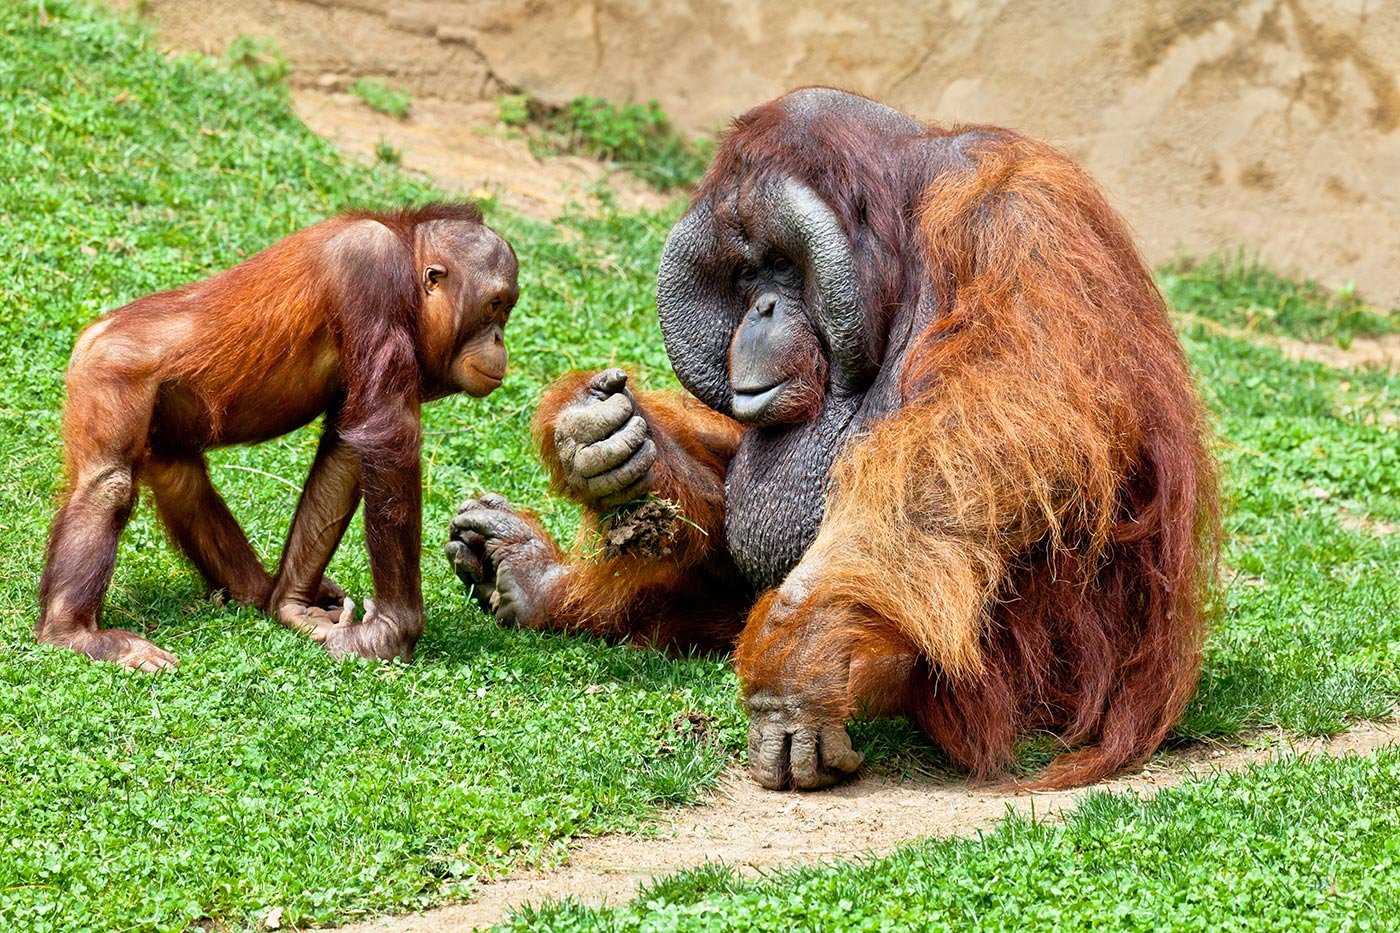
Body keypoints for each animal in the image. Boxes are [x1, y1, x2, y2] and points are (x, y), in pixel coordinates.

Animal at [39, 202, 518, 671]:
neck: (406, 259)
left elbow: (347, 447)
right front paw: (390, 633)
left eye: (506, 310)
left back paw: (259, 589)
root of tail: (94, 331)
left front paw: (292, 605)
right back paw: (73, 633)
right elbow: (387, 436)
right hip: (109, 371)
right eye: (493, 306)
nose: (499, 338)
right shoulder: (370, 271)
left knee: (183, 482)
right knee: (109, 484)